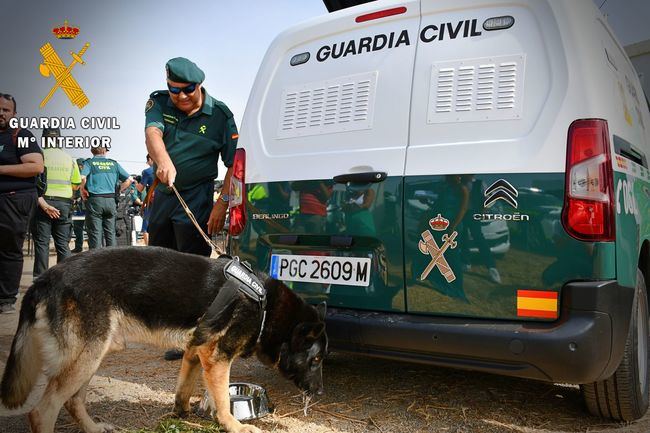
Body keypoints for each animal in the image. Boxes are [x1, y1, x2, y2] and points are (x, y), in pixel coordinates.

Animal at [1, 246, 330, 432]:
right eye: (315, 359)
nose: (320, 392)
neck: (266, 306)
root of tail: (46, 277)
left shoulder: (196, 351)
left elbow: (185, 388)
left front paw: (182, 414)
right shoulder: (217, 358)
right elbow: (223, 399)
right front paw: (233, 425)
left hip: (94, 353)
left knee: (72, 401)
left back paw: (93, 428)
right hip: (88, 355)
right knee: (42, 411)